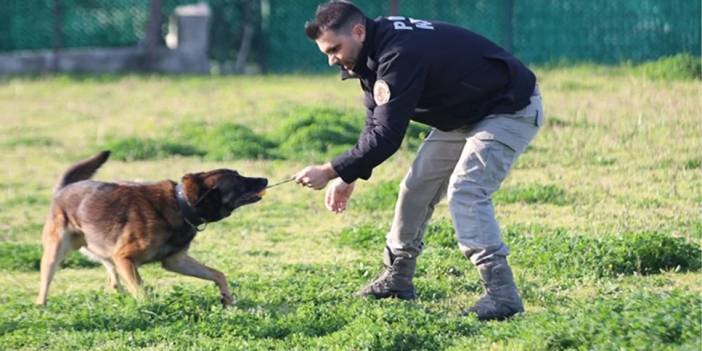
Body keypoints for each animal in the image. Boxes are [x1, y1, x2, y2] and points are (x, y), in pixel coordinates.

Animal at [35, 151, 268, 308]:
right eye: (238, 180)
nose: (265, 178)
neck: (181, 204)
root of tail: (64, 188)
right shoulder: (124, 259)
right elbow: (142, 291)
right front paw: (150, 310)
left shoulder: (176, 261)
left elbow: (218, 274)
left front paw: (227, 299)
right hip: (55, 253)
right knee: (45, 283)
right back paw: (41, 307)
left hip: (104, 252)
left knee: (113, 281)